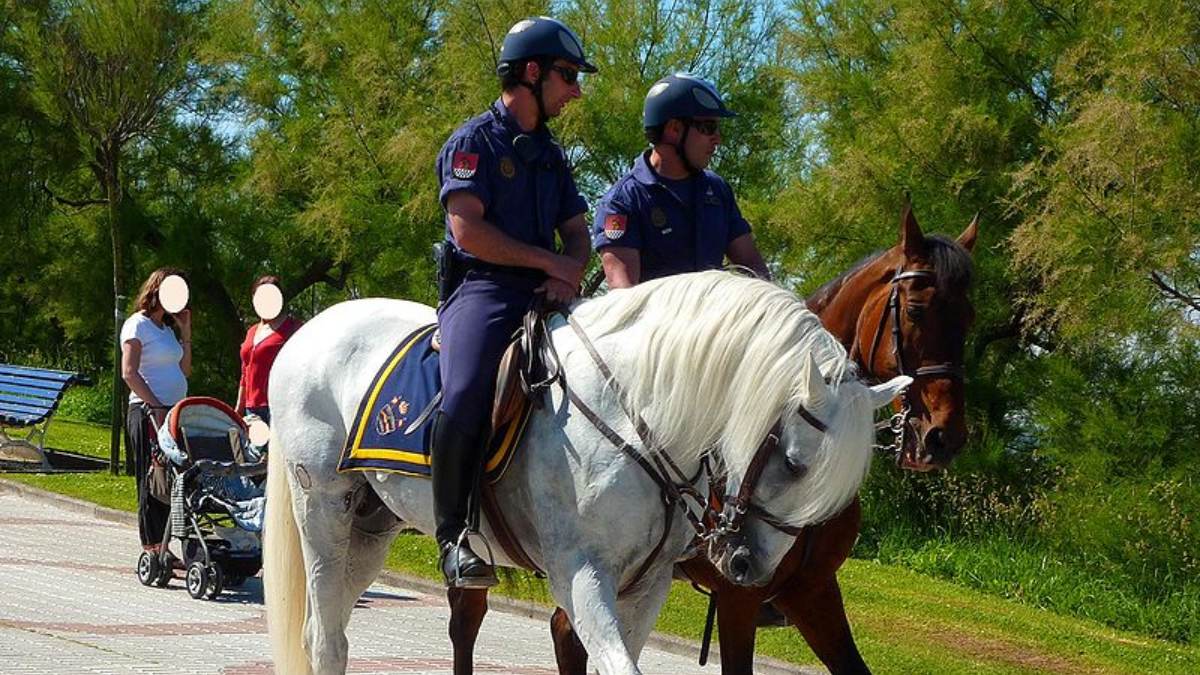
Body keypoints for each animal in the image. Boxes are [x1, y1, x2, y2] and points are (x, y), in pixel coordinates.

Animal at [260, 267, 902, 672]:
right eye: (794, 463)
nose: (748, 568)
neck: (635, 408)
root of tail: (312, 329)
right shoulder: (582, 576)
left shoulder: (649, 585)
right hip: (323, 513)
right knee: (325, 639)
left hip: (370, 529)